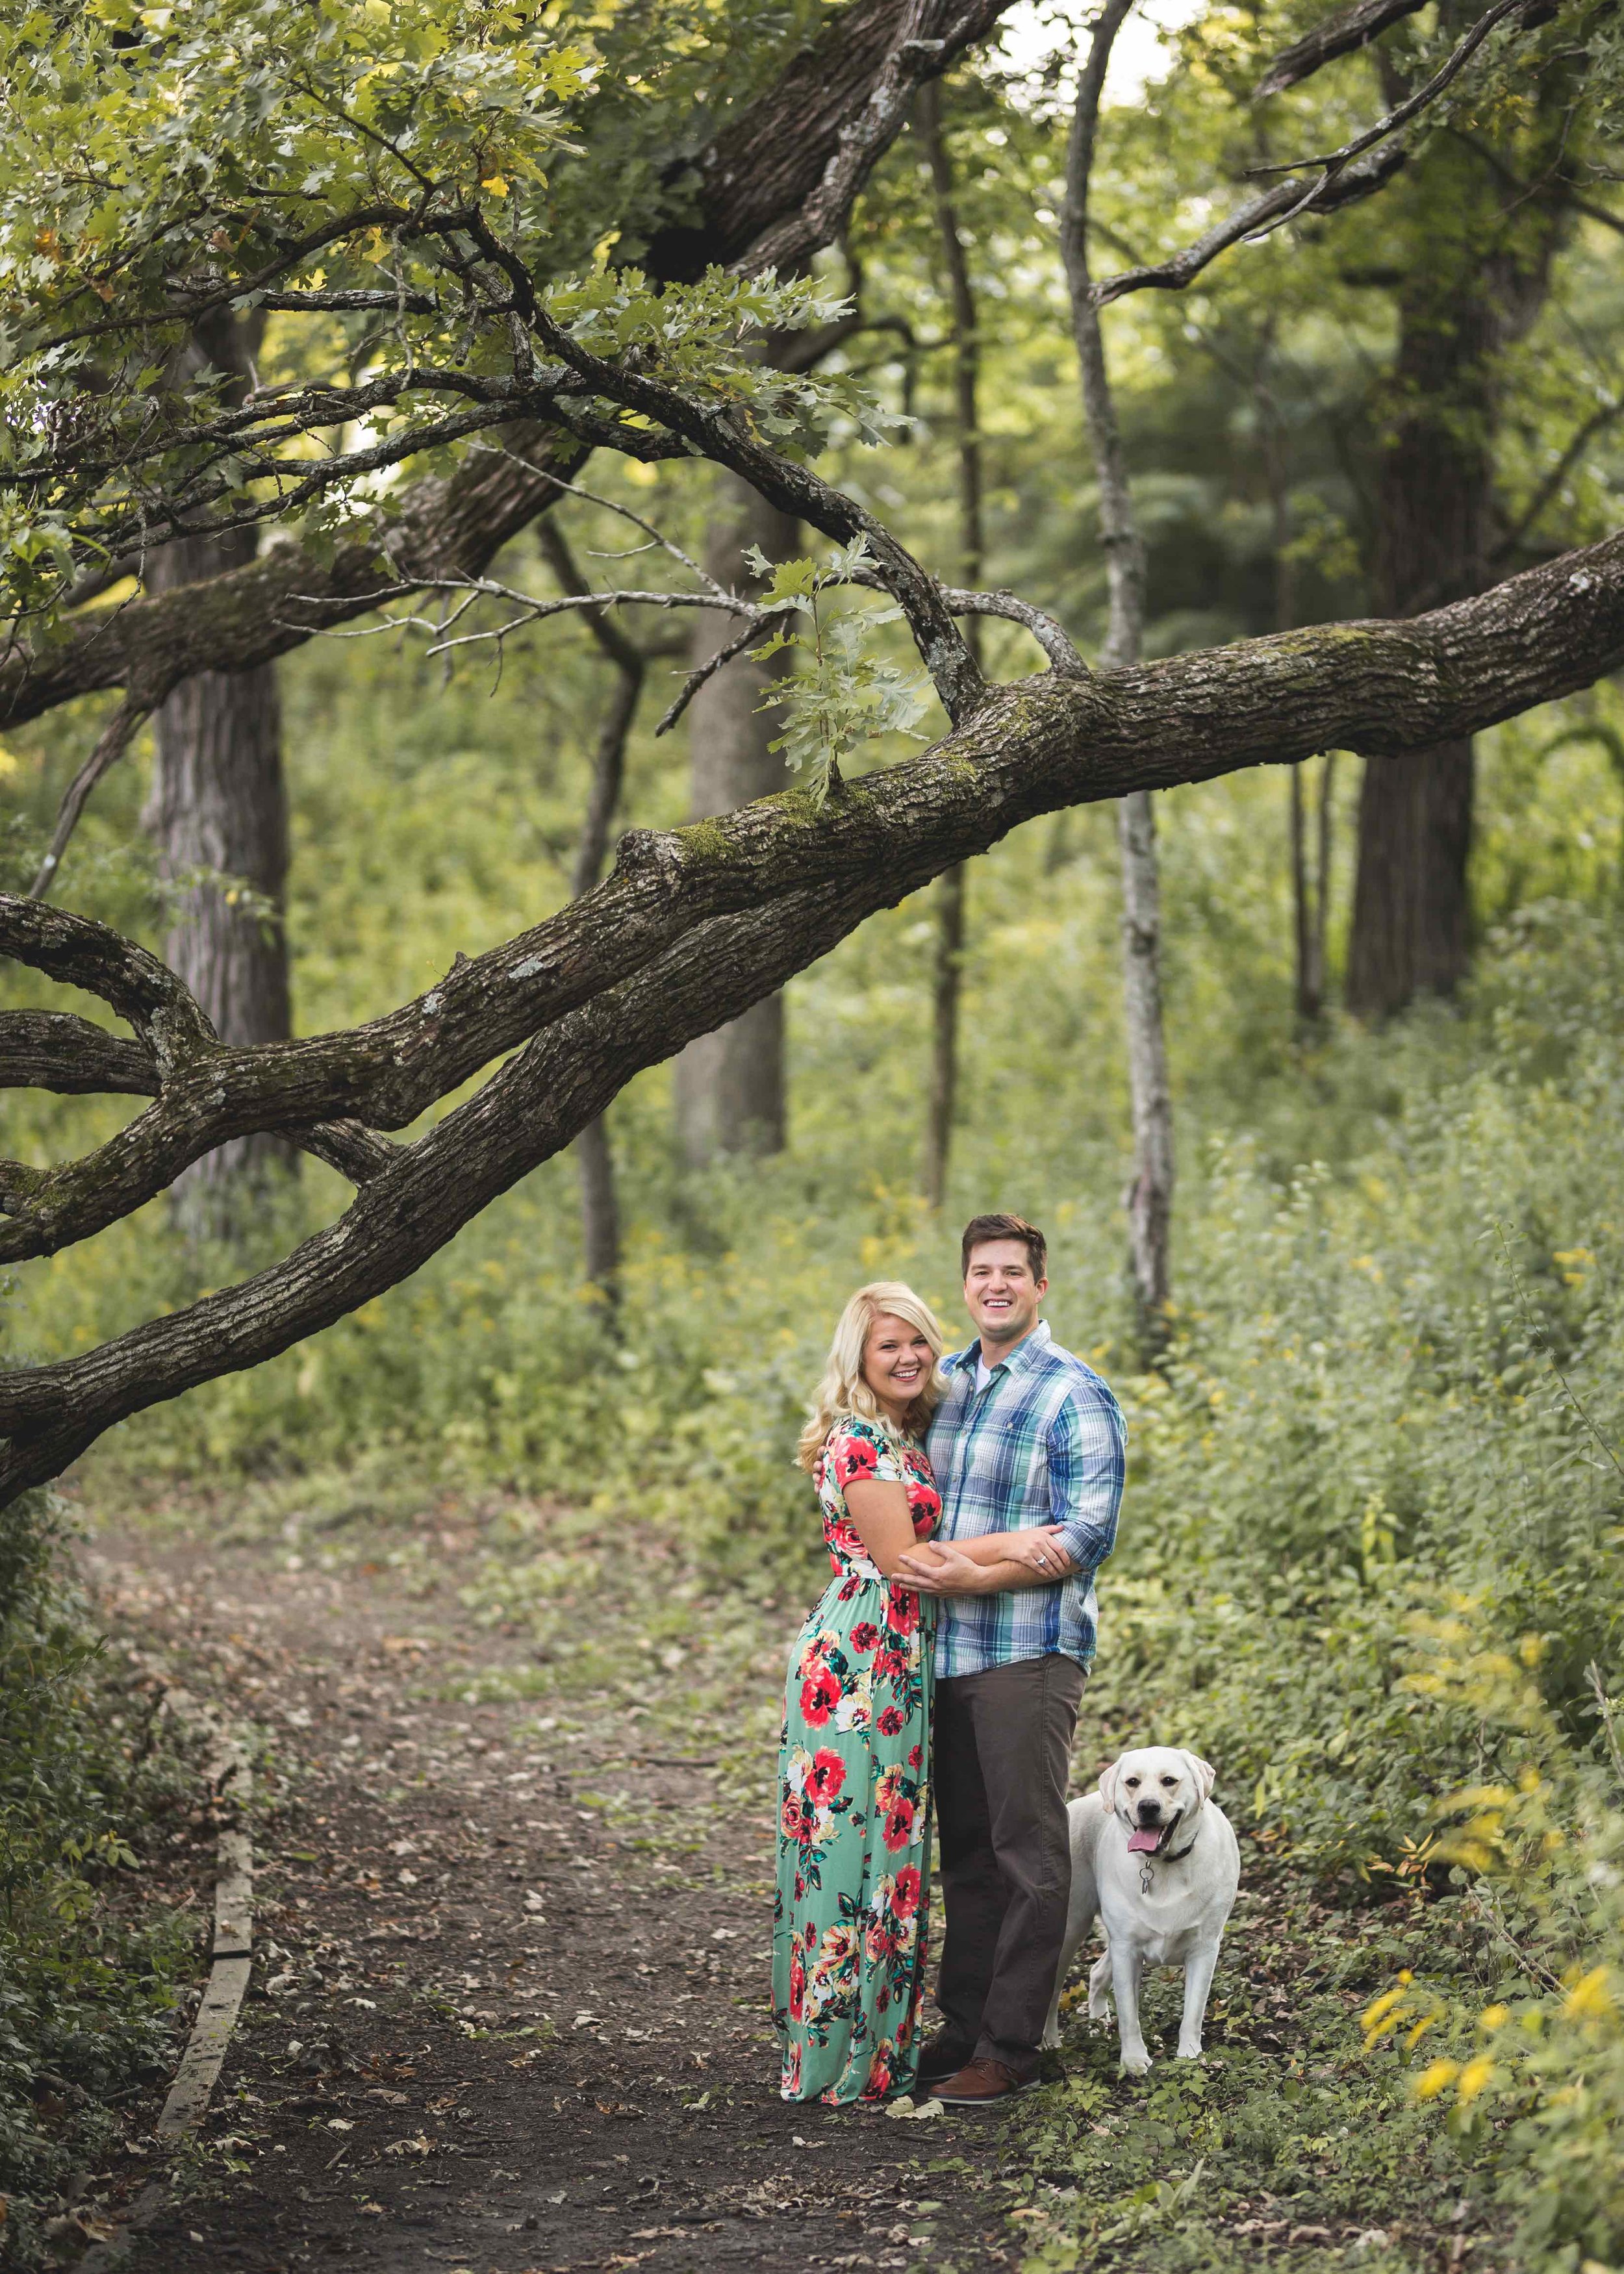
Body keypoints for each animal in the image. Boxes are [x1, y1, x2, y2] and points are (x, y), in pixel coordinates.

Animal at [1041, 1746, 1237, 2073]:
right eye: (1132, 1782)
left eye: (1169, 1781)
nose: (1147, 1807)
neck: (1163, 1863)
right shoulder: (1127, 1949)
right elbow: (1129, 2014)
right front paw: (1133, 2059)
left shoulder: (1205, 1948)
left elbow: (1194, 2010)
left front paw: (1190, 2054)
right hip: (1070, 1929)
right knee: (1053, 1990)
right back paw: (1049, 2041)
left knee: (1096, 1973)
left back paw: (1099, 2025)